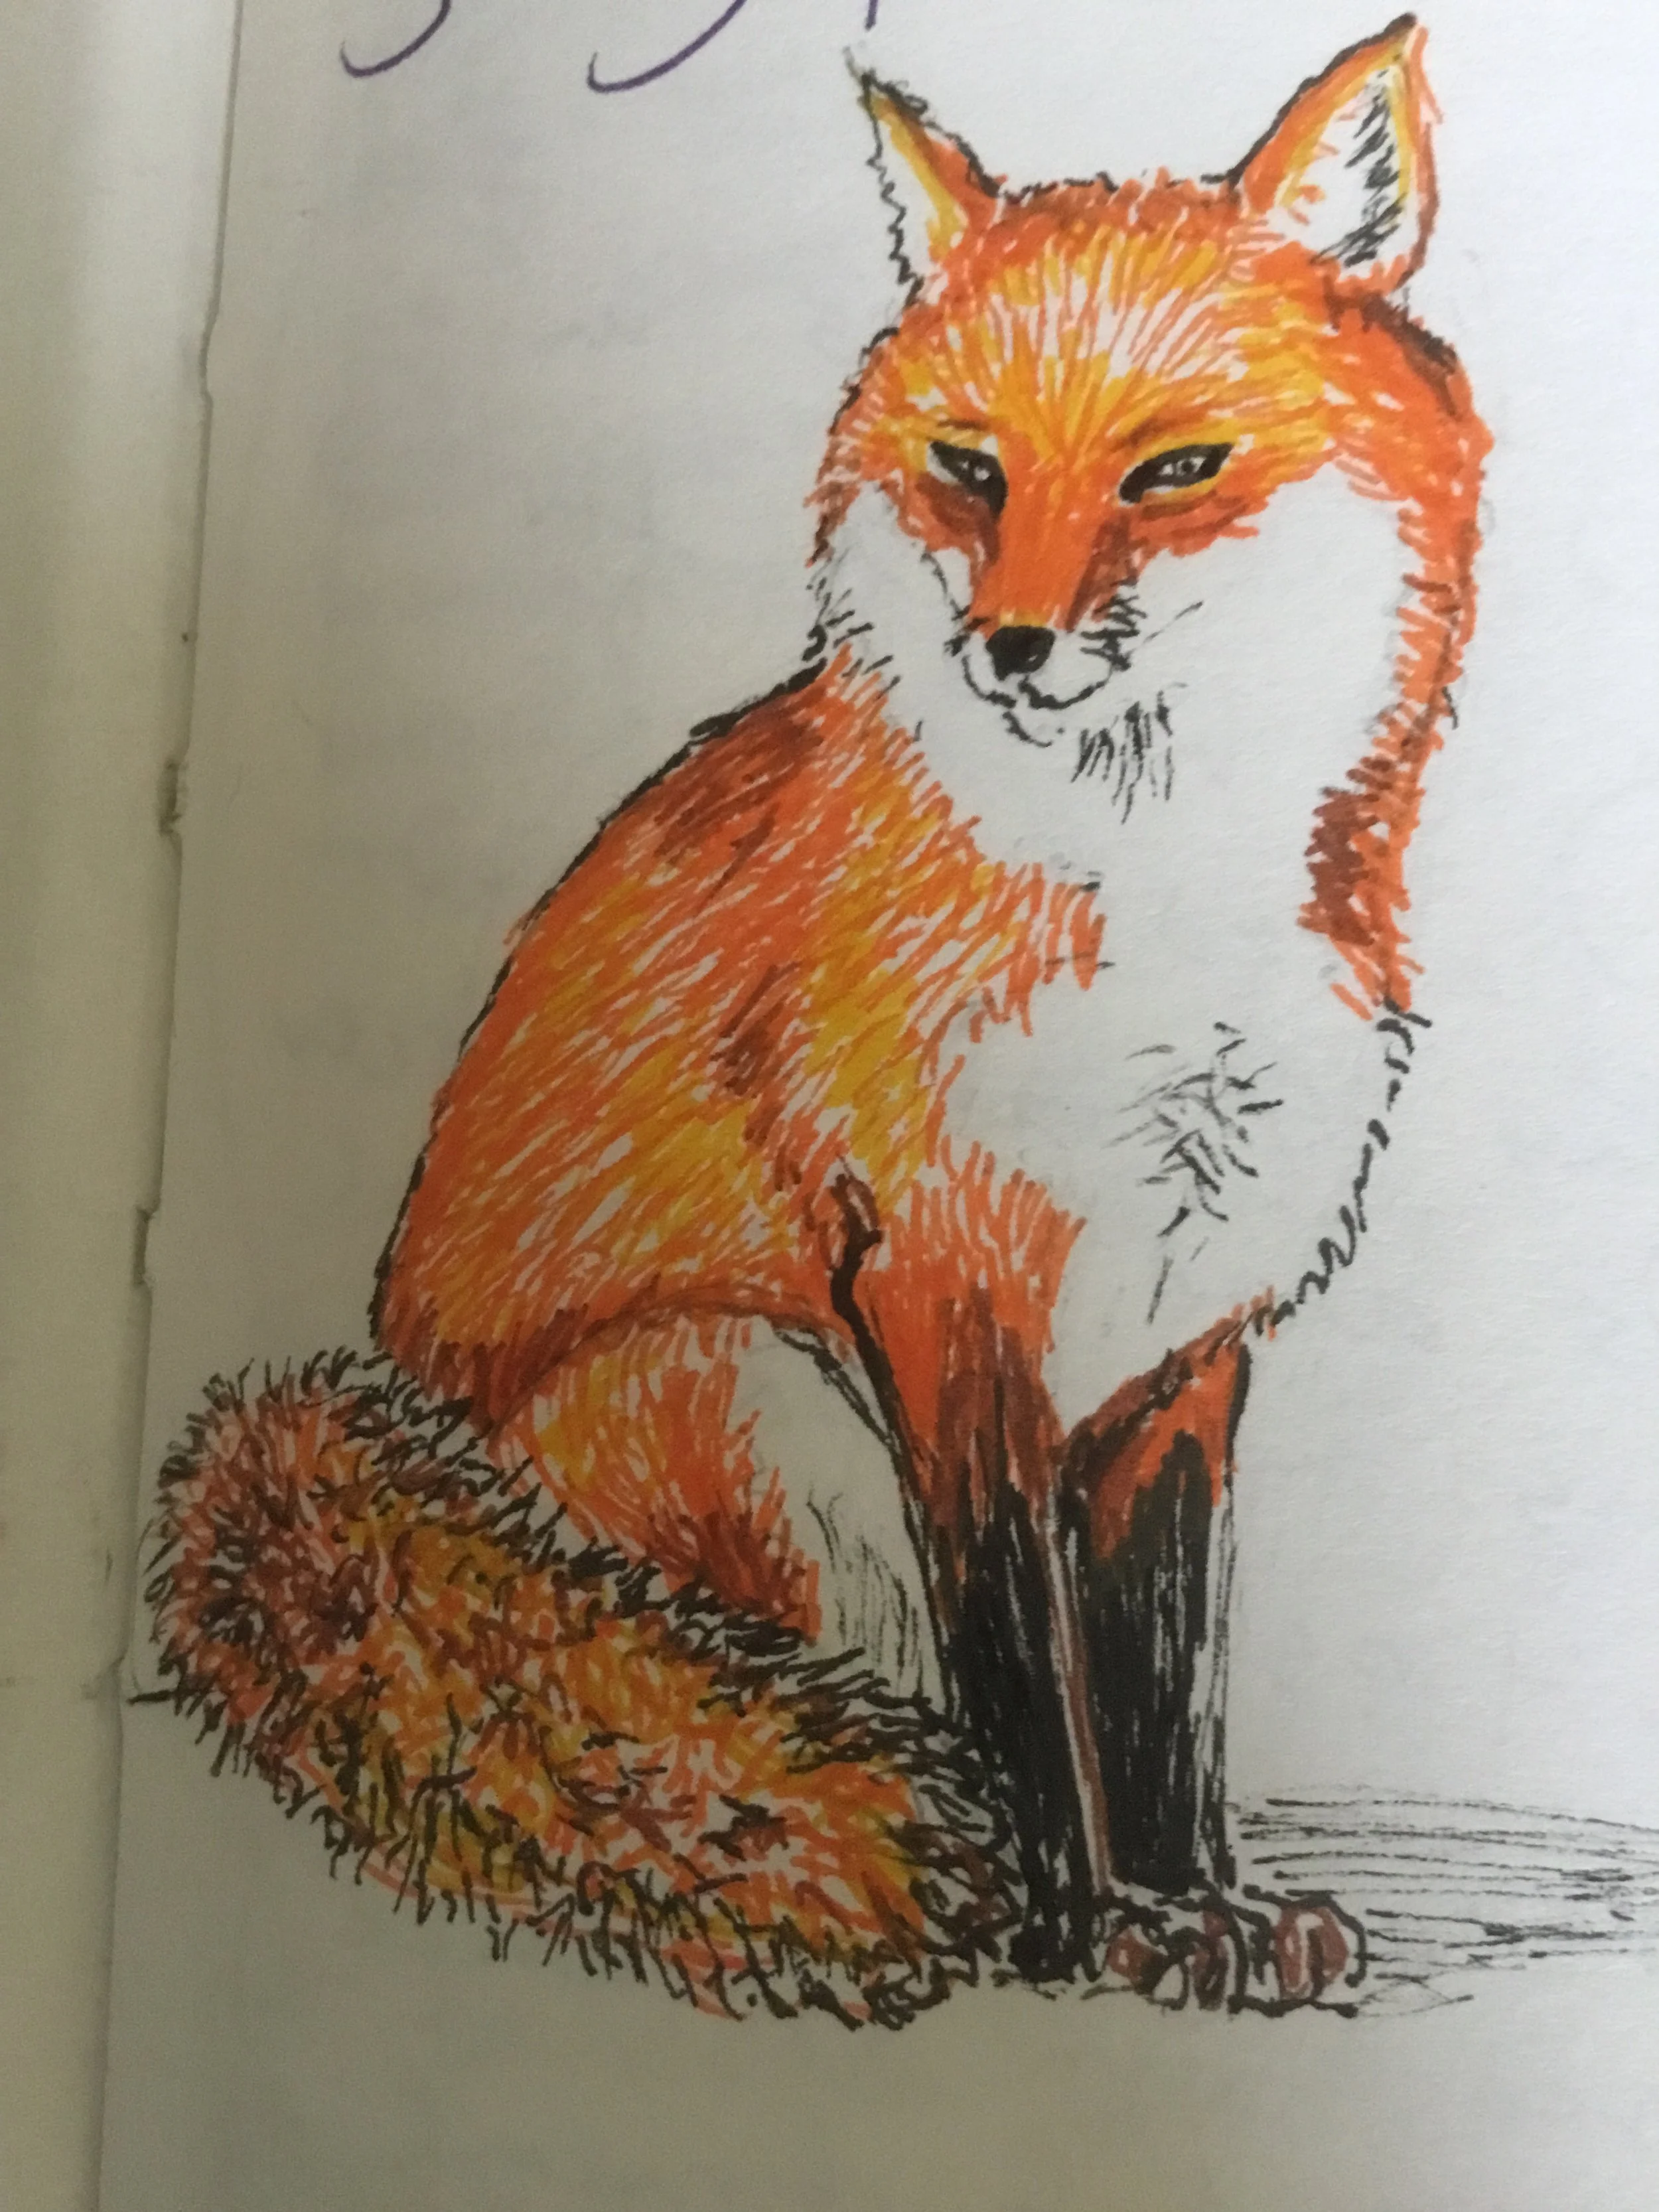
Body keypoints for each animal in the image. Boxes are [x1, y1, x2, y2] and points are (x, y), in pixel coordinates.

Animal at [151, 19, 1487, 2026]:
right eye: (968, 468)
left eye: (1172, 469)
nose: (1009, 647)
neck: (1159, 911)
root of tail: (376, 1443)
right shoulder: (939, 1278)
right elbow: (1025, 1674)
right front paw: (1077, 1920)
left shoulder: (1187, 1339)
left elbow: (1159, 1684)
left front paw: (1201, 1906)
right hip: (753, 1381)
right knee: (824, 1686)